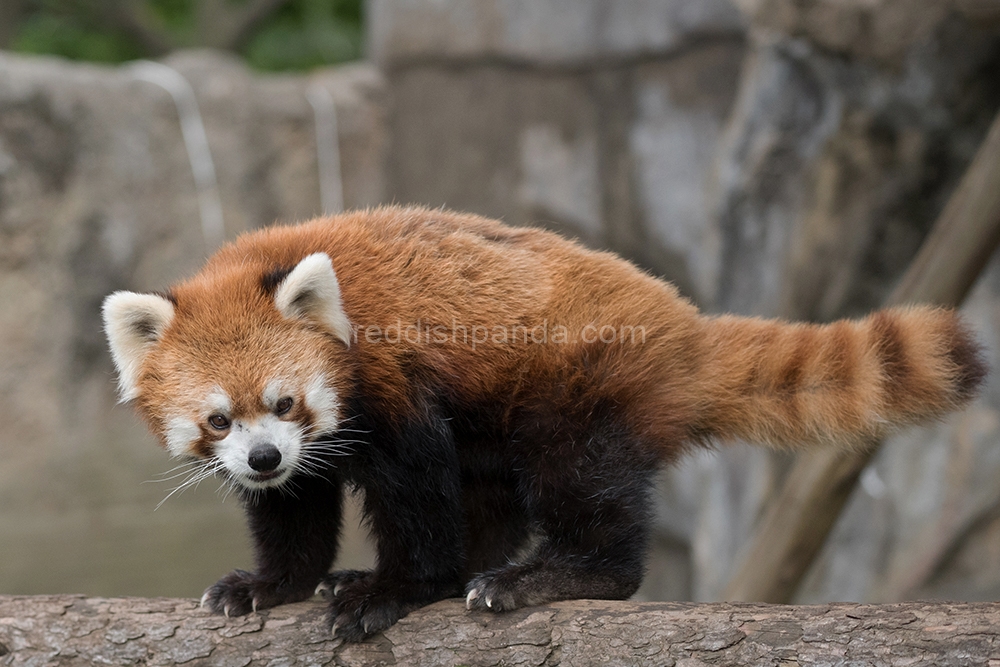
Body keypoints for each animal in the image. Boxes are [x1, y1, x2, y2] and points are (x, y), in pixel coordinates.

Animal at [103, 205, 984, 640]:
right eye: (220, 419)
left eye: (285, 402)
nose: (261, 456)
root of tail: (684, 325)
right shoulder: (302, 460)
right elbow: (296, 508)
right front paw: (272, 583)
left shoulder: (394, 383)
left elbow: (416, 490)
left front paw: (392, 591)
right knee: (490, 495)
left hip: (579, 389)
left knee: (583, 492)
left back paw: (544, 576)